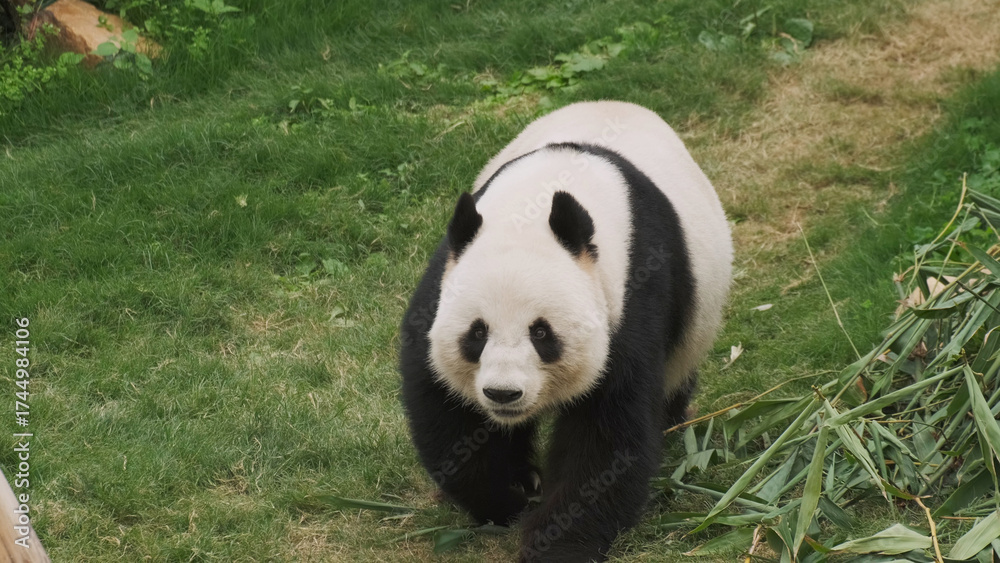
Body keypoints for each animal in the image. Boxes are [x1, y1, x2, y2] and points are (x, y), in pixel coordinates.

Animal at [399, 101, 732, 561]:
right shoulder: (444, 280)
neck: (532, 210)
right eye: (477, 334)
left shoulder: (632, 294)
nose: (503, 394)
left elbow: (606, 432)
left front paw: (557, 544)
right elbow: (447, 410)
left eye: (542, 334)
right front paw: (509, 498)